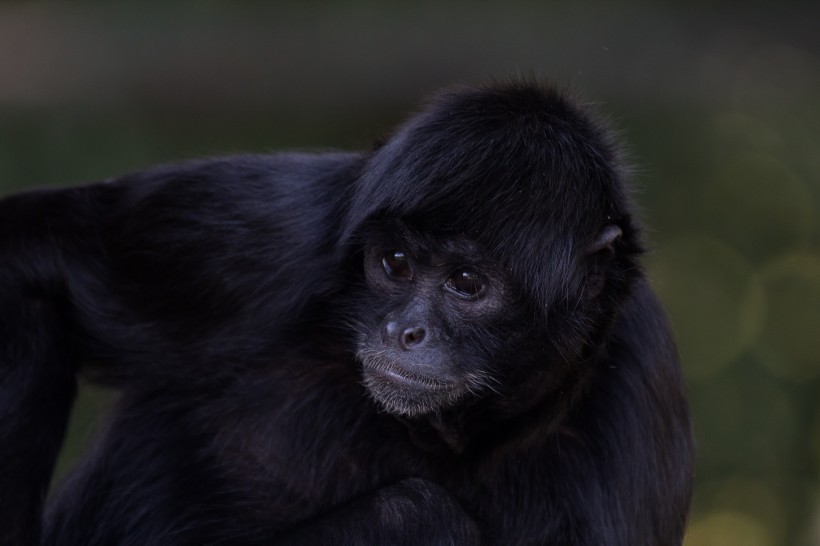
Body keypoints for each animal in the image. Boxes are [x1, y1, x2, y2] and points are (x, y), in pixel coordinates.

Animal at [0, 82, 692, 544]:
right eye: (395, 263)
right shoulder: (295, 228)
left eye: (467, 283)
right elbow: (30, 251)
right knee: (414, 513)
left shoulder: (631, 380)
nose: (403, 330)